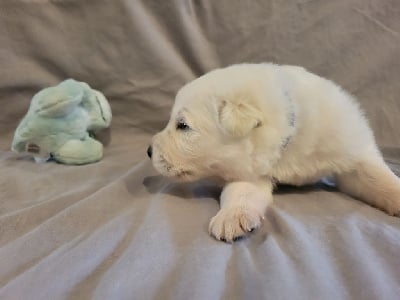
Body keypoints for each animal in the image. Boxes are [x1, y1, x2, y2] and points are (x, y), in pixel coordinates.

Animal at [148, 62, 400, 241]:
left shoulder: (351, 151)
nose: (148, 151)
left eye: (183, 126)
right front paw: (232, 217)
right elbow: (241, 193)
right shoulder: (250, 172)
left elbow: (380, 179)